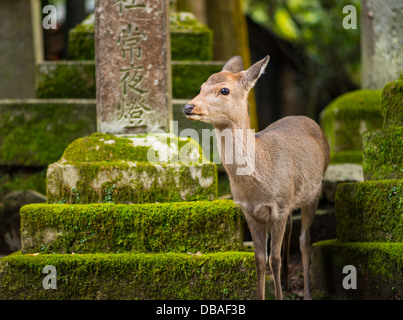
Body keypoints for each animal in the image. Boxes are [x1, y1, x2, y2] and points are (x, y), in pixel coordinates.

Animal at [185, 55, 330, 300]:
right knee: (290, 231)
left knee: (304, 241)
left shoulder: (279, 206)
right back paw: (287, 281)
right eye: (202, 86)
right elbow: (260, 259)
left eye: (224, 90)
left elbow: (275, 259)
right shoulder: (249, 210)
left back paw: (307, 292)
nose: (188, 106)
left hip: (314, 192)